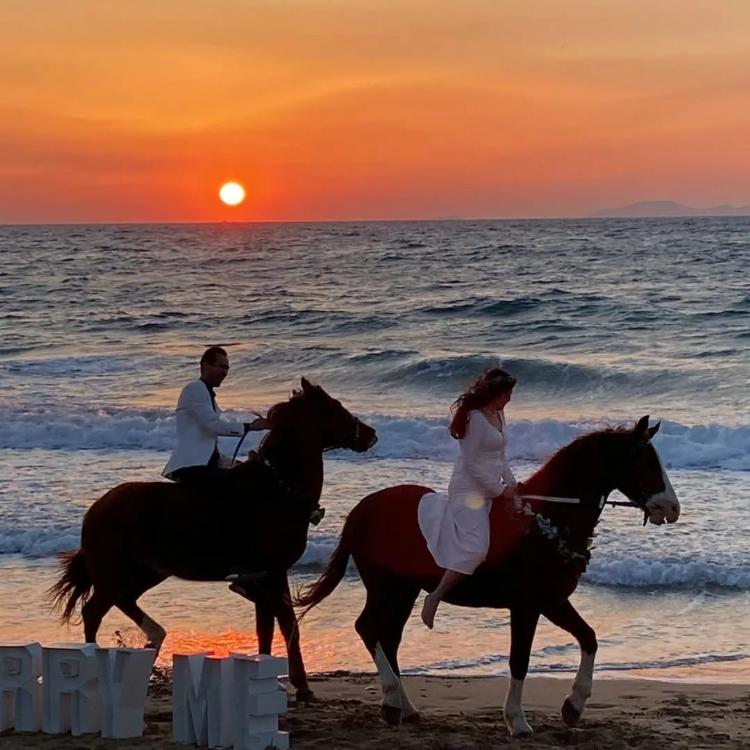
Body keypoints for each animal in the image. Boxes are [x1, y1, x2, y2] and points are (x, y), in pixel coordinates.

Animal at [50, 382, 378, 704]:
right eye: (334, 406)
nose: (371, 434)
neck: (278, 490)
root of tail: (96, 509)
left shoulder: (266, 575)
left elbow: (268, 626)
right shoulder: (271, 572)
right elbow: (286, 623)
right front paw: (302, 686)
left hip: (149, 571)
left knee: (124, 600)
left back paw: (154, 637)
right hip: (113, 573)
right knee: (93, 612)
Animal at [298, 414, 680, 736]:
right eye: (646, 461)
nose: (672, 508)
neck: (546, 518)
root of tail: (362, 510)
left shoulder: (552, 601)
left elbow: (589, 639)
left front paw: (573, 706)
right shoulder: (527, 606)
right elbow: (519, 660)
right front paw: (517, 721)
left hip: (404, 591)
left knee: (388, 638)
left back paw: (405, 708)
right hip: (385, 588)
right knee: (368, 629)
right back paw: (392, 701)